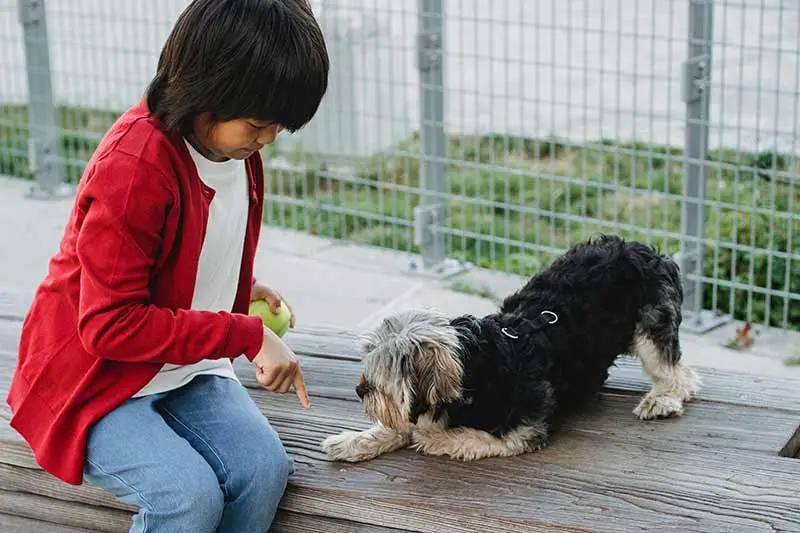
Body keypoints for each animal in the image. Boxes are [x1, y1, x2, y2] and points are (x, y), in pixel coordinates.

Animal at [322, 233, 696, 462]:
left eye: (382, 380)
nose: (360, 390)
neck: (473, 369)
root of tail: (645, 250)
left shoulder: (525, 426)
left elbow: (478, 438)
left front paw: (438, 439)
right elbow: (401, 425)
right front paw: (355, 440)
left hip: (652, 326)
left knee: (680, 374)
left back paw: (662, 400)